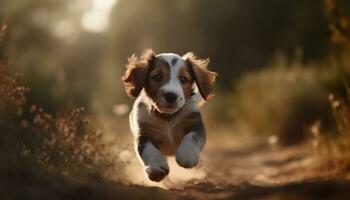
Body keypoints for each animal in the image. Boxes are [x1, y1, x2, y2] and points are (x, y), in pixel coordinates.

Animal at [121, 48, 217, 181]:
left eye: (183, 79)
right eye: (157, 77)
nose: (170, 96)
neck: (168, 117)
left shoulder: (195, 124)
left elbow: (192, 137)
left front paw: (187, 156)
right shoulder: (143, 133)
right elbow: (147, 149)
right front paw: (156, 168)